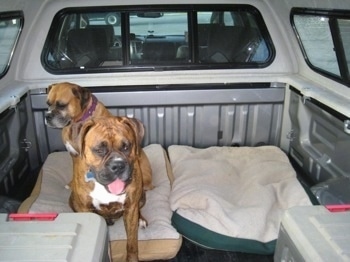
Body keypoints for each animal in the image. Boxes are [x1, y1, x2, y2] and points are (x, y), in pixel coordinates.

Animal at [67, 116, 147, 262]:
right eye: (99, 150)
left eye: (126, 146)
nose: (118, 165)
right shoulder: (85, 209)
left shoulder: (131, 207)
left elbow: (132, 242)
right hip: (72, 201)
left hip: (142, 196)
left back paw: (141, 219)